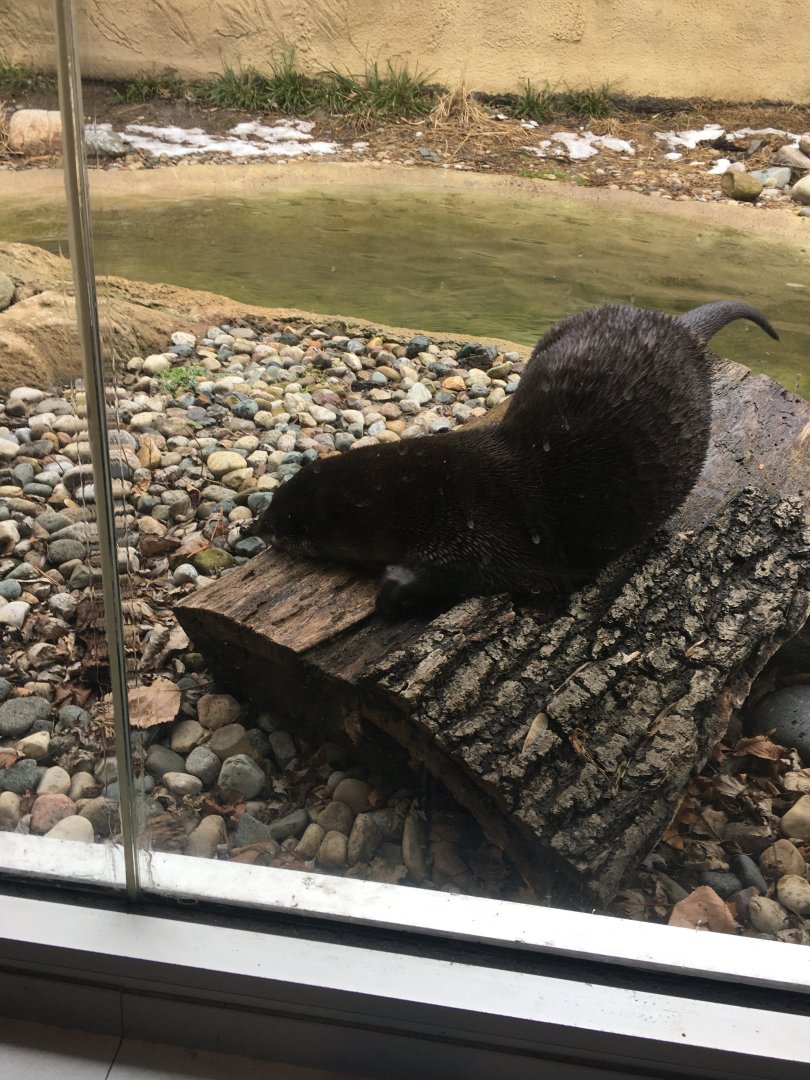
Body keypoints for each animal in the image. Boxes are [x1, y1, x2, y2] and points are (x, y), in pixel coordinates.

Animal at [257, 300, 778, 615]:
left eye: (292, 523)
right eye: (275, 500)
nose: (258, 527)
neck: (434, 492)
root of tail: (679, 330)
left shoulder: (484, 532)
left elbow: (470, 573)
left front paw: (392, 590)